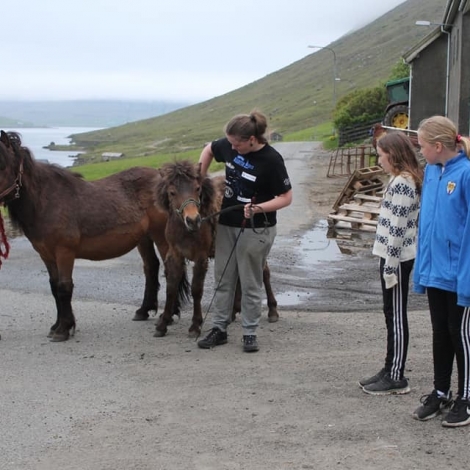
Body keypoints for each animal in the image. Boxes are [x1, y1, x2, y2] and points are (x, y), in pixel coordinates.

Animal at [0, 131, 173, 342]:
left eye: (2, 164)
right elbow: (54, 288)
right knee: (151, 267)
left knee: (171, 271)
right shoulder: (46, 255)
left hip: (161, 237)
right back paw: (143, 310)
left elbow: (64, 288)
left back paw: (168, 318)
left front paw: (63, 329)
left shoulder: (64, 252)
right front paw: (57, 325)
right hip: (144, 238)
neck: (47, 201)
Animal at [154, 162, 278, 338]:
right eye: (172, 192)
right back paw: (233, 312)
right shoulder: (175, 256)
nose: (193, 220)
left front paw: (195, 325)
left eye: (197, 188)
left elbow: (196, 290)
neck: (185, 230)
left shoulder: (200, 257)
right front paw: (162, 324)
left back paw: (272, 310)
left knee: (265, 273)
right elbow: (171, 288)